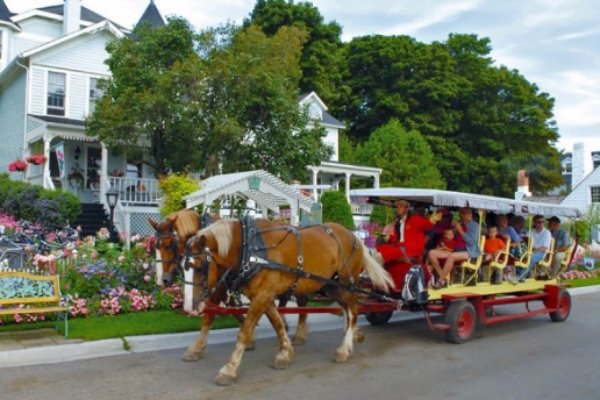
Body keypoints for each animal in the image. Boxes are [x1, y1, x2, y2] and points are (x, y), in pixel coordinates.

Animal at [149, 209, 310, 362]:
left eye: (168, 245)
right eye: (154, 247)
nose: (162, 280)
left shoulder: (220, 288)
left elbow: (211, 316)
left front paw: (196, 349)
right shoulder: (226, 286)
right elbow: (232, 308)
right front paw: (250, 336)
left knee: (300, 301)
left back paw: (299, 334)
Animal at [185, 217, 396, 386]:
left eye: (200, 268)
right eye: (182, 267)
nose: (189, 308)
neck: (249, 248)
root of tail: (356, 238)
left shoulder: (262, 295)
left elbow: (244, 332)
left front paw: (229, 369)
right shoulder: (263, 294)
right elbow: (277, 322)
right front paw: (285, 353)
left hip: (345, 283)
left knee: (353, 308)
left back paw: (345, 348)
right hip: (329, 285)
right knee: (346, 307)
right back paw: (350, 336)